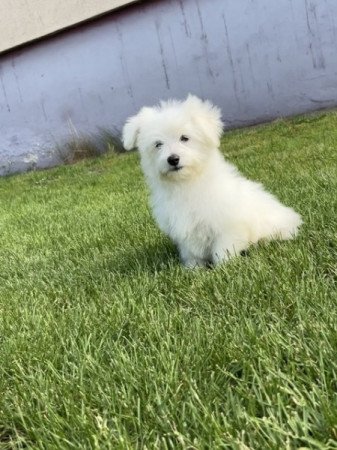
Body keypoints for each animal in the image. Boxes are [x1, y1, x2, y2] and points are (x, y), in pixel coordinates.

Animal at [122, 95, 300, 268]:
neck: (187, 183)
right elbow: (191, 253)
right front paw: (194, 269)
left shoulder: (227, 227)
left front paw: (223, 266)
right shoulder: (184, 232)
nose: (173, 159)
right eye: (158, 144)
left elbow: (223, 249)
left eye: (184, 138)